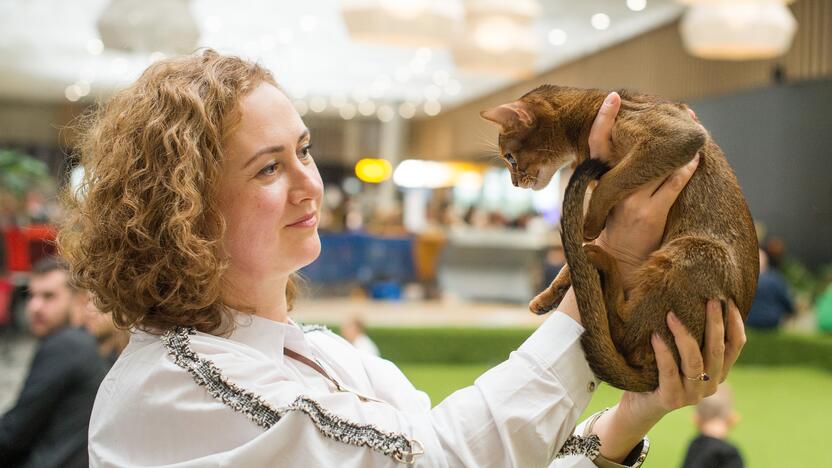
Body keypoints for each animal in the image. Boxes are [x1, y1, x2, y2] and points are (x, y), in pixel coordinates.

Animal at [480, 86, 760, 394]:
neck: (588, 109)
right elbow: (571, 258)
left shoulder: (676, 137)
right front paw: (547, 296)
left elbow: (608, 182)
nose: (515, 183)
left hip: (691, 254)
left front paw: (589, 223)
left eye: (510, 158)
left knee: (624, 332)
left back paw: (601, 261)